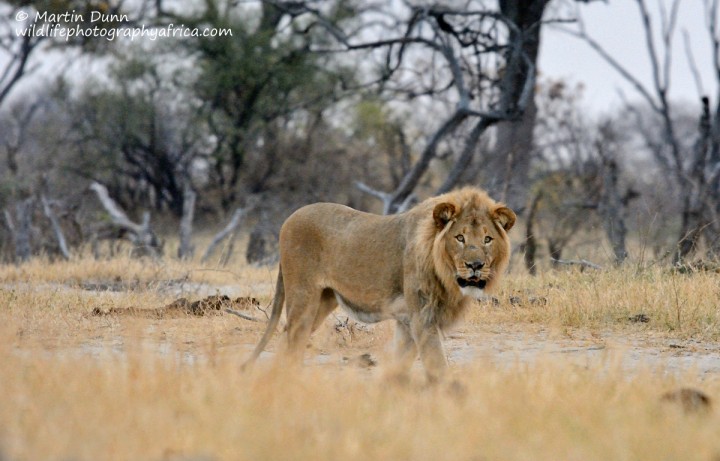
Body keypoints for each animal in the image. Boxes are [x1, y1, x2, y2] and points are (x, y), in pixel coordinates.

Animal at [245, 186, 516, 380]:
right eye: (460, 238)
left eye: (487, 239)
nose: (475, 265)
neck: (447, 276)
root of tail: (289, 218)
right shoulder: (423, 318)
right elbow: (438, 367)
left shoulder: (408, 323)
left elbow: (400, 366)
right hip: (303, 296)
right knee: (290, 341)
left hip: (323, 301)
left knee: (289, 340)